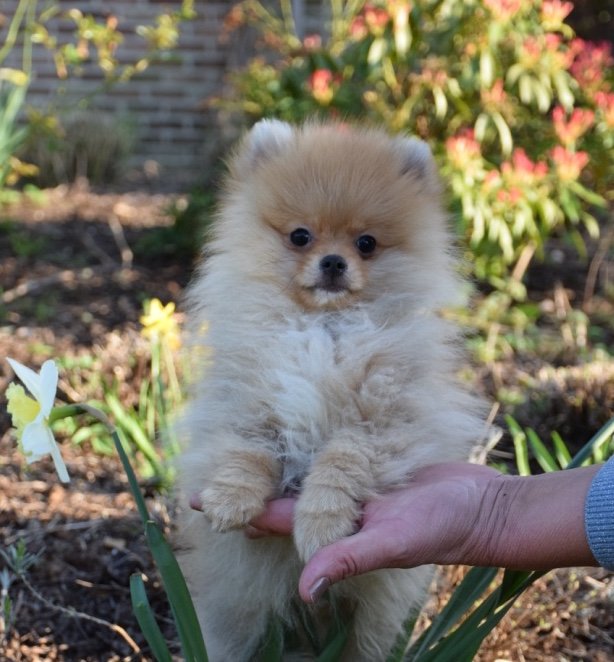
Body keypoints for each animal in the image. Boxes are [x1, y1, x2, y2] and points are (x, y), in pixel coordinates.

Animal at [176, 122, 488, 660]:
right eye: (301, 236)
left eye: (366, 243)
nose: (334, 261)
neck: (324, 329)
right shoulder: (247, 396)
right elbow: (246, 451)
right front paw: (231, 498)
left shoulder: (385, 418)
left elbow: (341, 463)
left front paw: (322, 521)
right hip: (237, 619)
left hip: (368, 627)